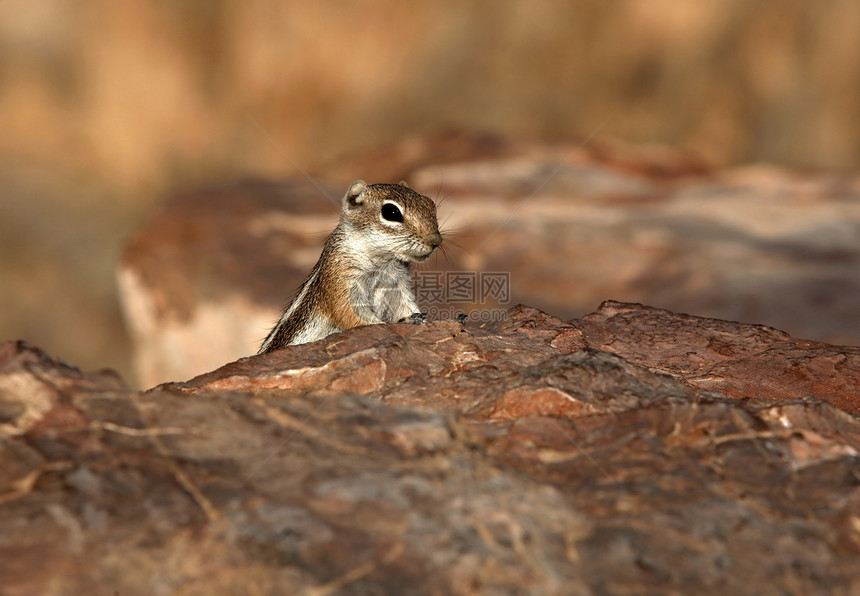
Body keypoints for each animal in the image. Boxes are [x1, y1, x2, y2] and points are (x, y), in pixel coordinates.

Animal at [258, 179, 440, 352]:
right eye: (391, 212)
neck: (384, 264)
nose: (436, 241)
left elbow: (406, 306)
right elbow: (352, 315)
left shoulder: (398, 287)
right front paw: (404, 321)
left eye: (430, 203)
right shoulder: (341, 279)